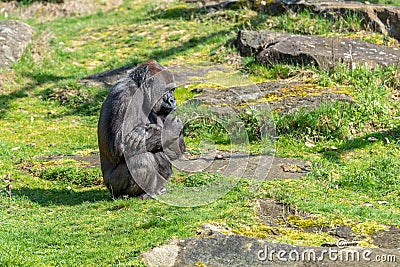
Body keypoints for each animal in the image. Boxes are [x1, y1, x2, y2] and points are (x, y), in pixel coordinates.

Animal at [97, 60, 185, 199]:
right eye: (167, 90)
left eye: (173, 90)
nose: (173, 100)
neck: (140, 89)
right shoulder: (124, 96)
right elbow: (120, 144)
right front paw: (173, 129)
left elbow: (176, 146)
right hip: (113, 188)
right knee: (138, 156)